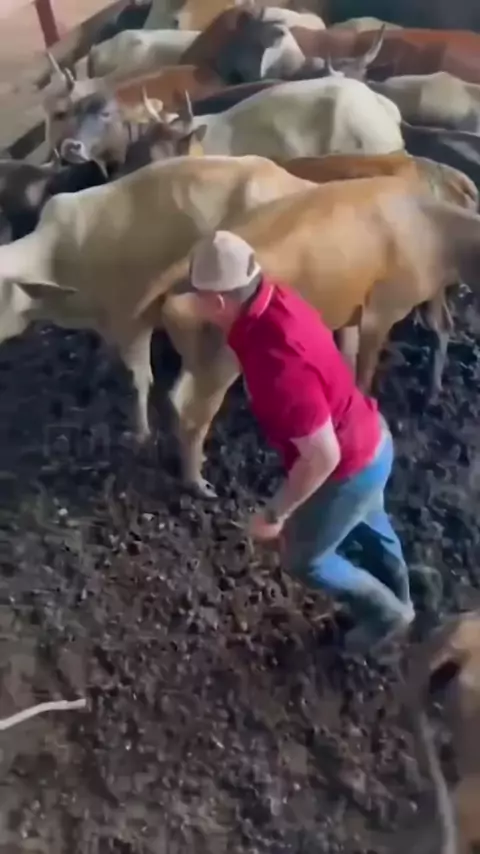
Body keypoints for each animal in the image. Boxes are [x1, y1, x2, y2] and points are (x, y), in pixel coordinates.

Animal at [134, 175, 480, 492]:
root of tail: (185, 264)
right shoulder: (381, 310)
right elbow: (365, 370)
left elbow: (350, 357)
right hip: (222, 360)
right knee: (193, 412)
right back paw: (199, 484)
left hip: (200, 353)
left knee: (177, 397)